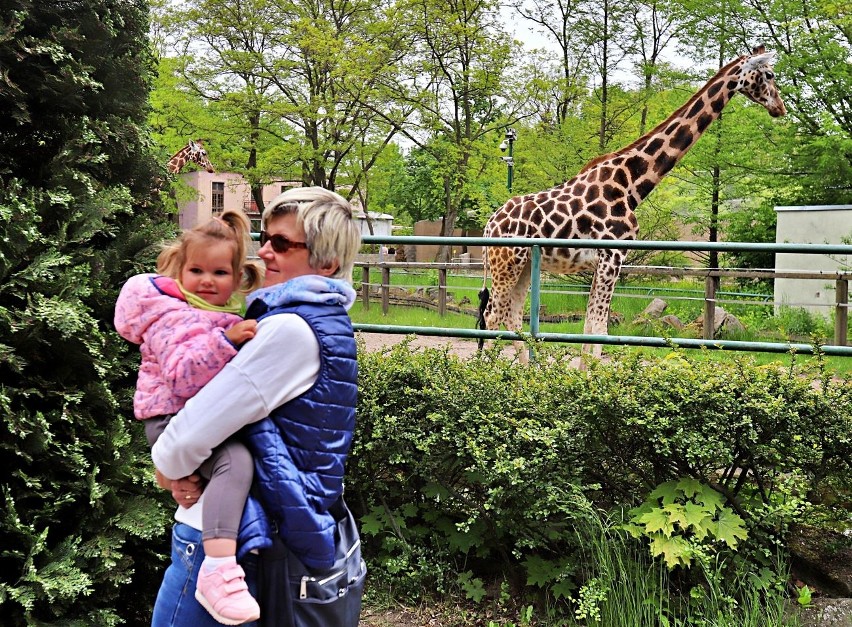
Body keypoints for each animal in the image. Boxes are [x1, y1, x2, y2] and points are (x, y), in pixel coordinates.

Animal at [480, 46, 784, 360]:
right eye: (769, 75)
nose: (780, 108)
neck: (630, 185)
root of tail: (489, 225)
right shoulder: (612, 256)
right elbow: (599, 330)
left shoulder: (605, 261)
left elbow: (589, 328)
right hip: (506, 263)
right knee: (492, 316)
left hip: (525, 265)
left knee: (513, 316)